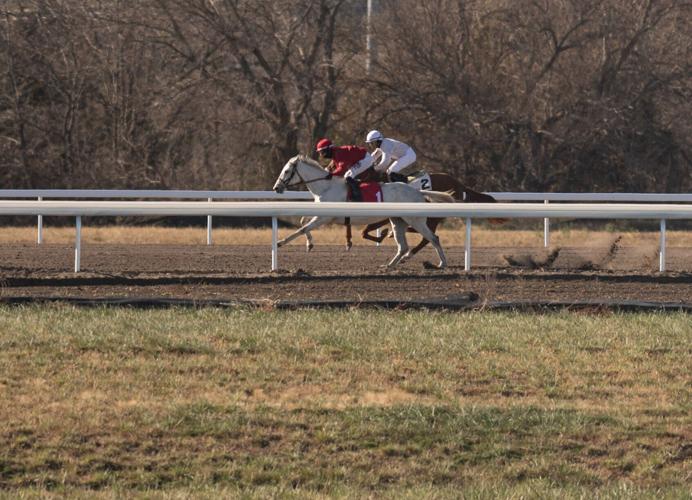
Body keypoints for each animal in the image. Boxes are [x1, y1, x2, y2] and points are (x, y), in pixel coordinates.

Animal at [272, 155, 455, 269]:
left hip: (415, 220)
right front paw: (309, 244)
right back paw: (389, 265)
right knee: (403, 246)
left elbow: (303, 228)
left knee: (433, 238)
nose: (276, 188)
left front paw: (280, 242)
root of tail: (418, 192)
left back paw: (442, 264)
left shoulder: (325, 217)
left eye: (286, 171)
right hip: (398, 221)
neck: (326, 186)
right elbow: (303, 222)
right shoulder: (322, 213)